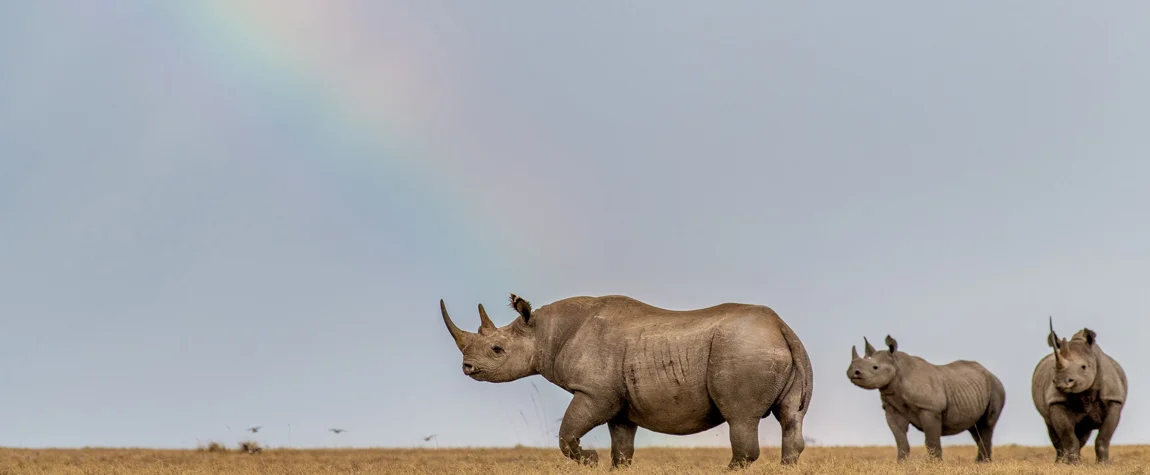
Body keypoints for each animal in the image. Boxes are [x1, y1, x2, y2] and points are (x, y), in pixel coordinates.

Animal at [434, 292, 814, 466]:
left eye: (497, 349)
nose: (467, 368)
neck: (543, 332)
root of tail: (782, 327)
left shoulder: (595, 392)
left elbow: (567, 433)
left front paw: (590, 459)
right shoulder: (620, 404)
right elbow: (622, 448)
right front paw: (611, 464)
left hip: (743, 348)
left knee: (740, 417)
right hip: (774, 348)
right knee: (790, 417)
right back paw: (787, 466)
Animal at [846, 335, 1007, 460]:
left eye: (875, 368)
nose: (853, 372)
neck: (897, 368)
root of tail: (990, 373)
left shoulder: (930, 408)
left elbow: (931, 441)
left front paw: (935, 465)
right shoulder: (892, 408)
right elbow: (900, 440)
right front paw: (901, 464)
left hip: (996, 387)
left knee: (986, 425)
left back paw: (982, 463)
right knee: (976, 428)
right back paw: (979, 463)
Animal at [1035, 317, 1122, 460]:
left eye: (1083, 367)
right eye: (1054, 367)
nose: (1061, 382)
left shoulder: (1114, 398)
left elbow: (1104, 437)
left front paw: (1104, 463)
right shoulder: (1056, 400)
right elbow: (1068, 438)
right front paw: (1071, 463)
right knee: (1054, 429)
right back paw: (1061, 461)